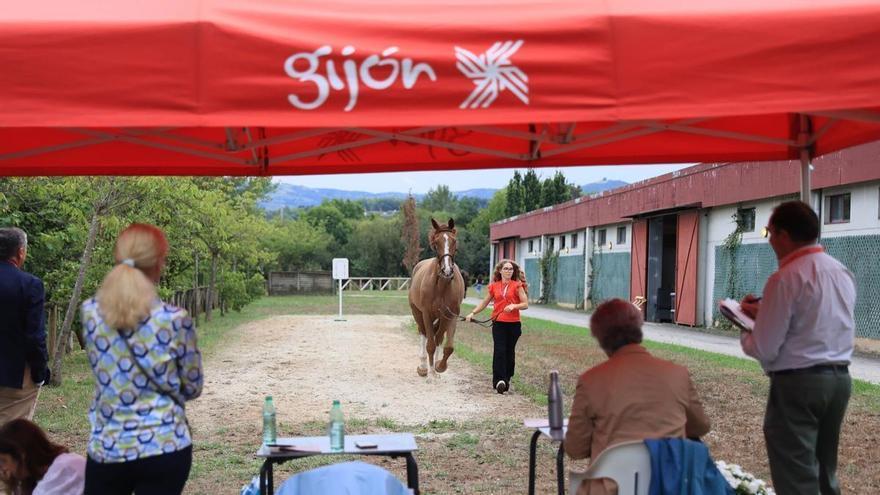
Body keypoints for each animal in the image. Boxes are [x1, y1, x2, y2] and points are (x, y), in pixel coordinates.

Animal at [408, 218, 466, 378]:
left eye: (454, 241)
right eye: (435, 243)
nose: (447, 270)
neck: (442, 286)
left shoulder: (451, 315)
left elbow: (448, 346)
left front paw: (440, 366)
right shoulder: (427, 314)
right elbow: (430, 344)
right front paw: (430, 372)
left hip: (441, 318)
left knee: (438, 337)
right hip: (417, 313)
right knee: (423, 333)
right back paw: (423, 367)